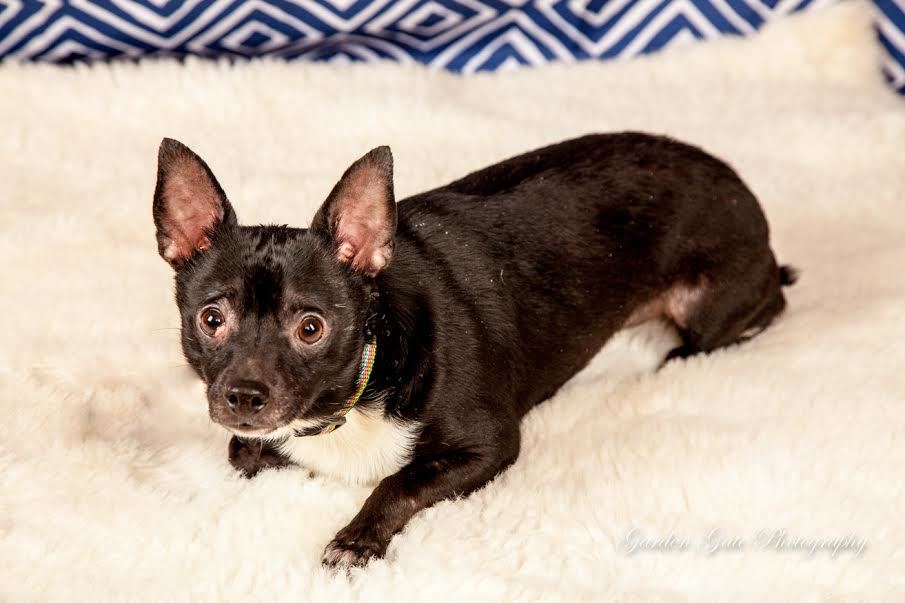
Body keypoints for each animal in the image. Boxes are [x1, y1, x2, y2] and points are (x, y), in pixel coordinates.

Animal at [152, 133, 796, 572]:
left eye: (311, 328)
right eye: (211, 320)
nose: (244, 396)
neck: (354, 394)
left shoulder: (489, 448)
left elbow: (399, 481)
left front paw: (356, 539)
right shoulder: (252, 438)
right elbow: (245, 453)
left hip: (709, 305)